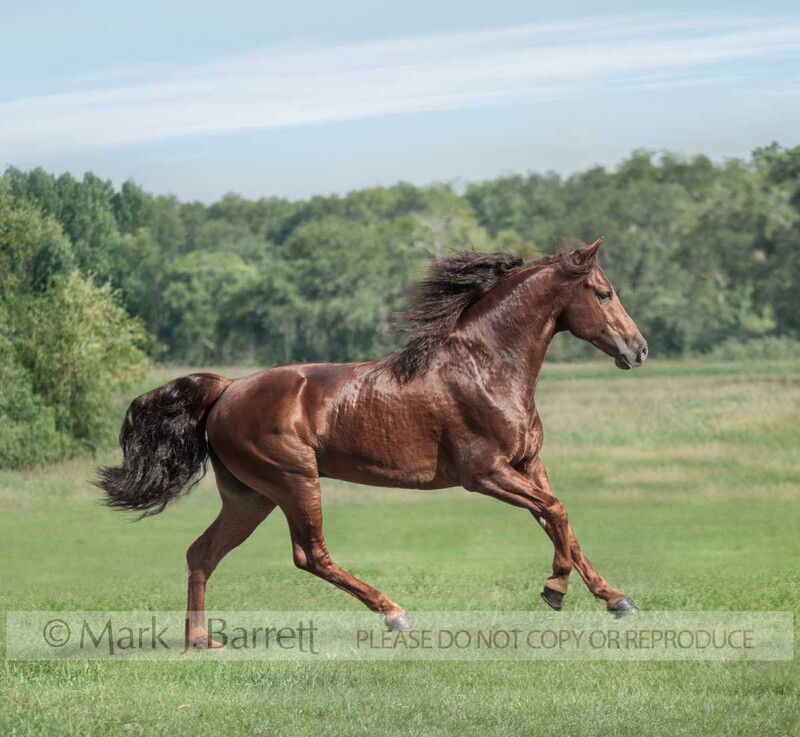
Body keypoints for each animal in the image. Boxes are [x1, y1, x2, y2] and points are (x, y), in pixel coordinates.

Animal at [97, 237, 648, 648]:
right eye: (603, 292)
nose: (639, 349)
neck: (486, 366)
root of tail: (226, 390)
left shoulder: (529, 465)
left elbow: (562, 523)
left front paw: (616, 599)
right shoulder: (485, 474)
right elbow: (557, 513)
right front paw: (555, 589)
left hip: (249, 498)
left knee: (202, 554)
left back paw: (201, 641)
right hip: (294, 482)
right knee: (310, 555)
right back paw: (394, 613)